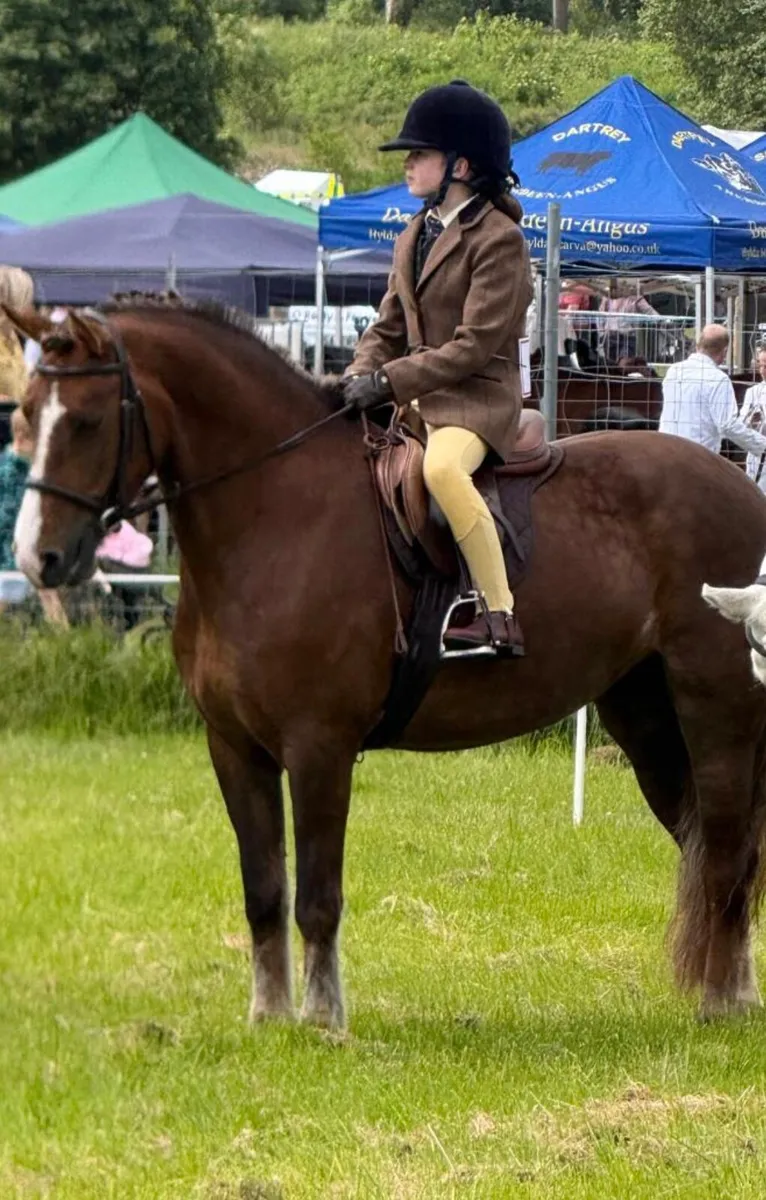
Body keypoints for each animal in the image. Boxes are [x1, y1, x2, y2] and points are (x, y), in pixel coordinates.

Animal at [9, 297, 766, 1028]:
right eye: (24, 414)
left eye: (85, 422)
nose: (38, 558)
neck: (274, 512)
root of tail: (743, 490)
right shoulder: (234, 748)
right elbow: (263, 889)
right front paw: (268, 1015)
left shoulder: (318, 747)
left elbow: (317, 893)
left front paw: (323, 1019)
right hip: (645, 719)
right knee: (710, 842)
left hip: (717, 709)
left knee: (729, 850)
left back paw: (722, 1003)